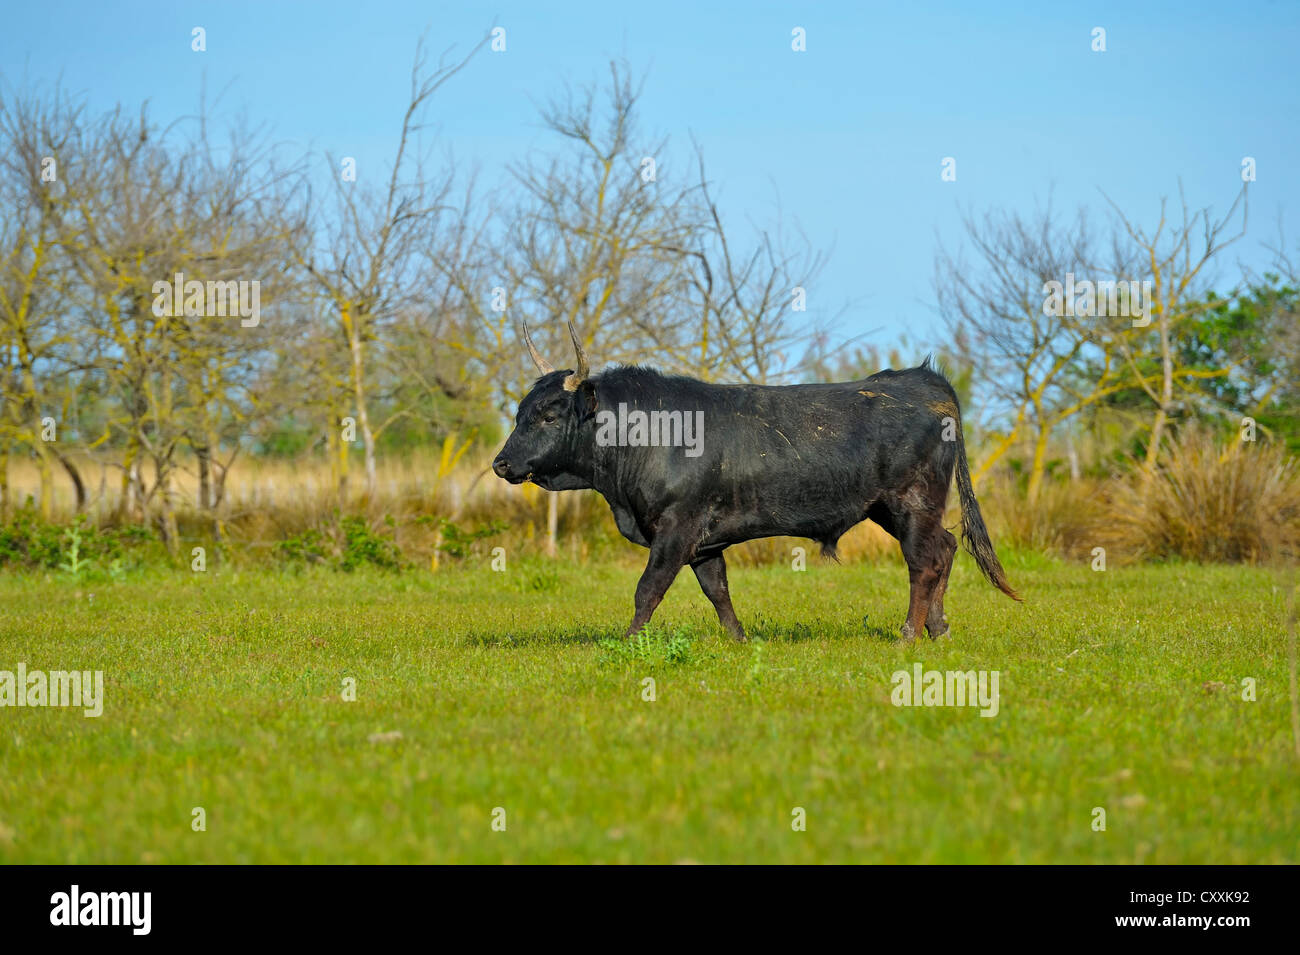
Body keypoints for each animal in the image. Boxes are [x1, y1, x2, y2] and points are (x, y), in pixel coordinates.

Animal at [492, 321, 1020, 642]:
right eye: (520, 412)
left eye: (549, 414)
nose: (501, 464)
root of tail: (924, 380)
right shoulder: (703, 542)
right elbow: (718, 591)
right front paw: (739, 640)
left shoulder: (677, 528)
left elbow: (649, 587)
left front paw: (627, 643)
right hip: (897, 510)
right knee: (946, 548)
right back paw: (938, 629)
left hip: (911, 504)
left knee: (925, 563)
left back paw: (908, 635)